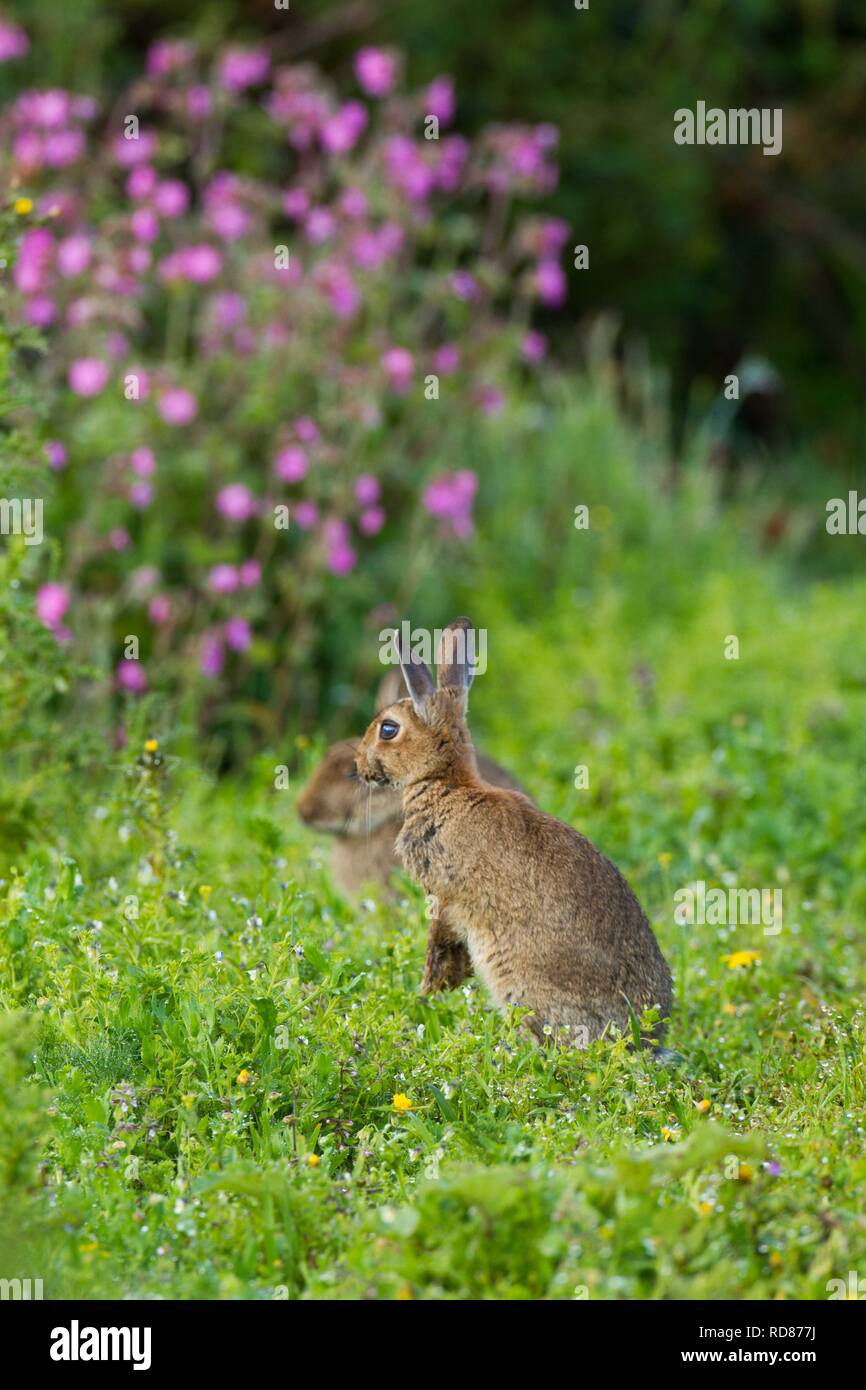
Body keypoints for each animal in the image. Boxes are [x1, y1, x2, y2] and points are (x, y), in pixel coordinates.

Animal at [354, 617, 673, 1046]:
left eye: (388, 729)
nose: (359, 764)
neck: (446, 785)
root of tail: (640, 1039)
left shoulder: (446, 895)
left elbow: (440, 939)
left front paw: (433, 986)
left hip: (518, 981)